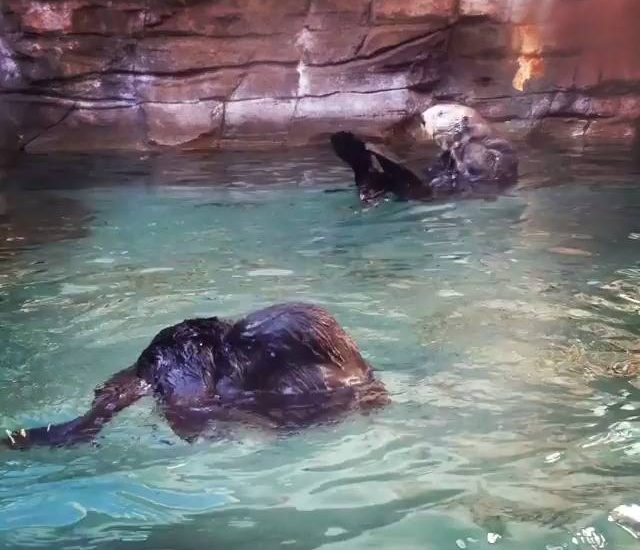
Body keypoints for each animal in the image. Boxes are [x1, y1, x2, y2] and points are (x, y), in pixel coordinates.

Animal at [331, 103, 518, 204]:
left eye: (441, 113)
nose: (422, 118)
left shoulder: (495, 151)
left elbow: (484, 160)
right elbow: (437, 165)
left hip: (417, 189)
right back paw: (347, 142)